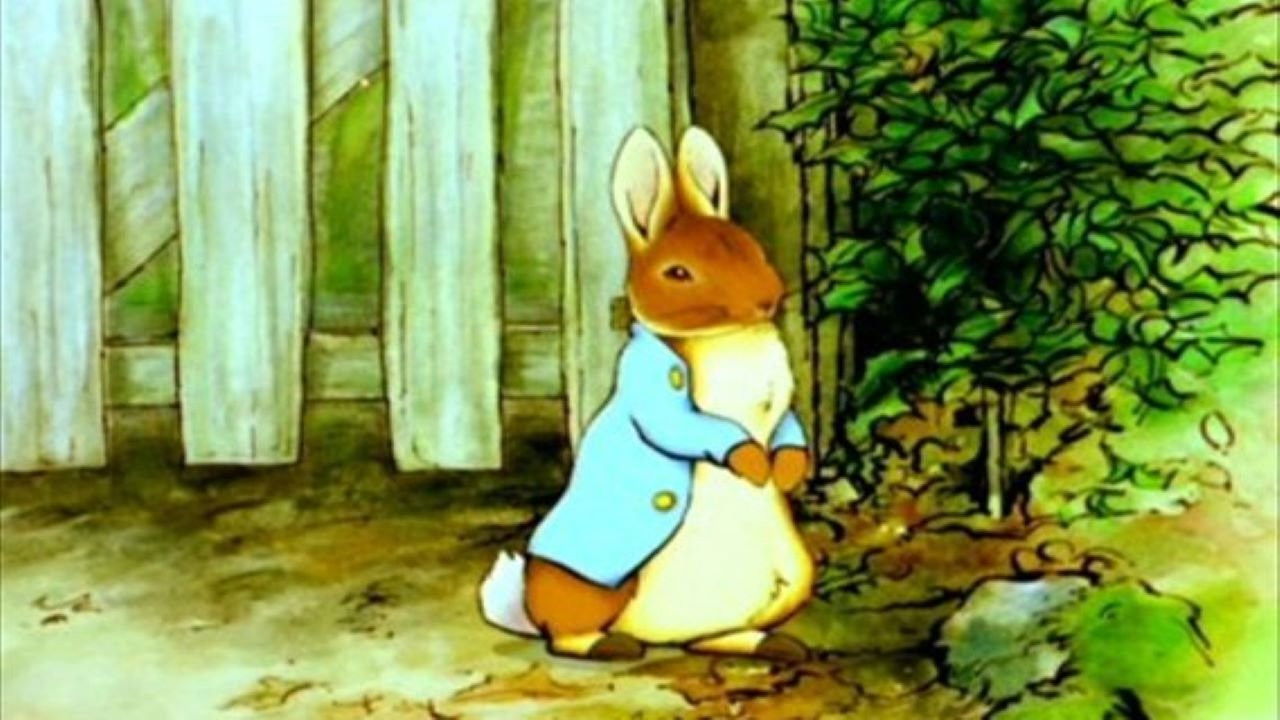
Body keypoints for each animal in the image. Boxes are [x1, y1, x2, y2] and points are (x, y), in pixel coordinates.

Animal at [479, 126, 813, 663]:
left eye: (753, 248)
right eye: (678, 273)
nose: (767, 300)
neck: (721, 336)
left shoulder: (782, 411)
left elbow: (788, 429)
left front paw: (784, 473)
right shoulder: (656, 396)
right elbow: (686, 426)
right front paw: (753, 467)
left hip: (789, 580)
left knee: (712, 638)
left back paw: (773, 645)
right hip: (587, 588)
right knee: (565, 636)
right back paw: (611, 647)